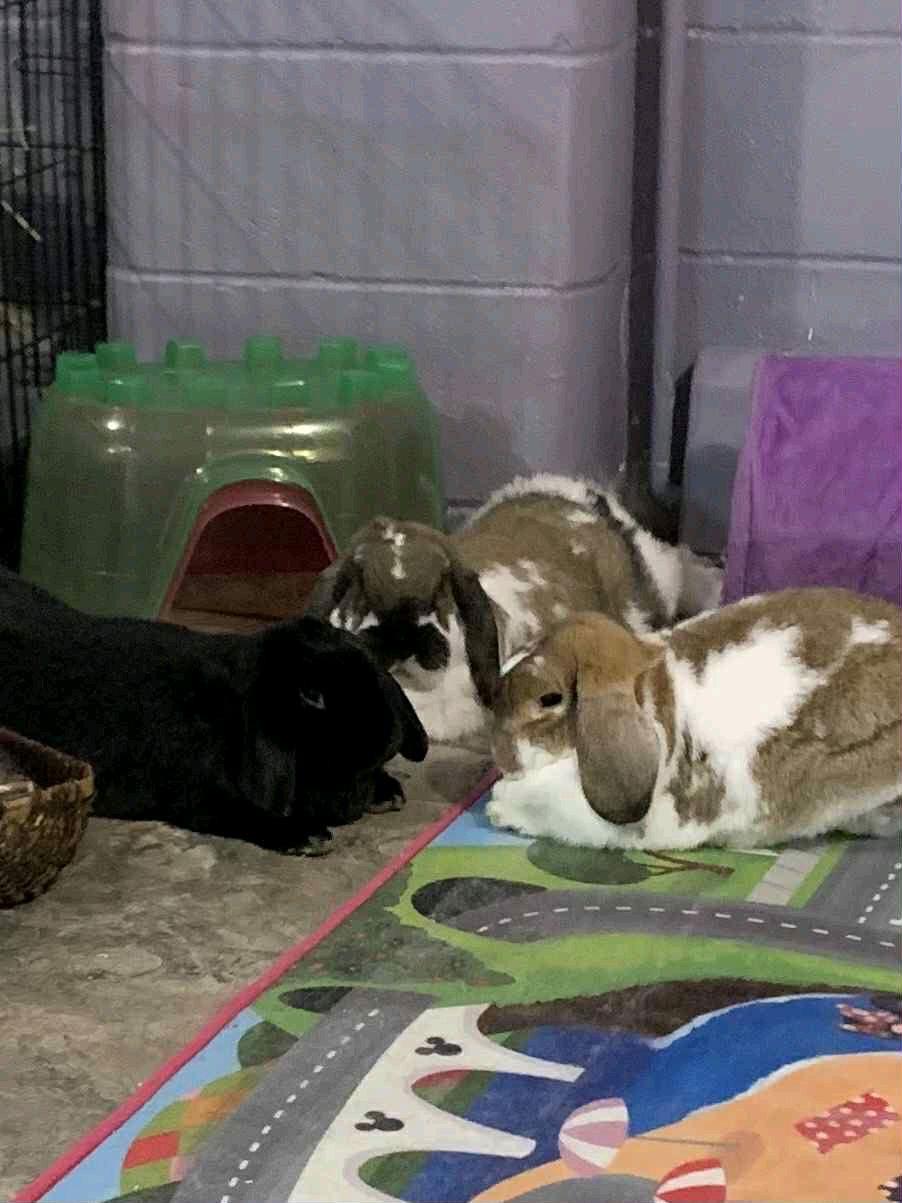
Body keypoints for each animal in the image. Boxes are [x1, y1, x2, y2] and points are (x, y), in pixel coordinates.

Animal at [0, 568, 427, 855]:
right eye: (313, 696)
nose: (354, 804)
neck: (235, 712)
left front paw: (387, 789)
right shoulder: (201, 795)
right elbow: (241, 813)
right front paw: (305, 834)